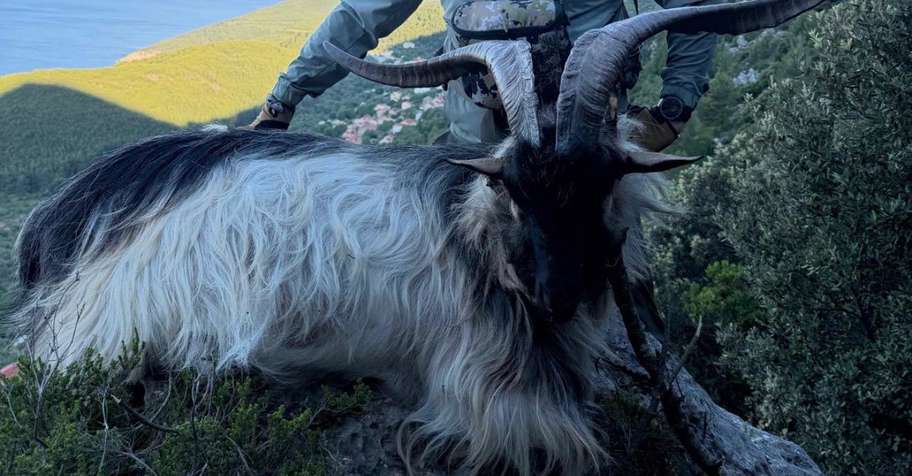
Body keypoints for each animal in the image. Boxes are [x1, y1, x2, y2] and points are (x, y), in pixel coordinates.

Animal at [9, 1, 824, 474]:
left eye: (602, 182)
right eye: (513, 186)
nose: (556, 298)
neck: (481, 239)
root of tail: (58, 226)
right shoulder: (485, 395)